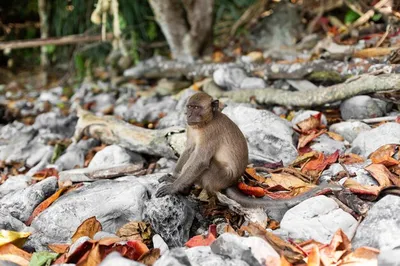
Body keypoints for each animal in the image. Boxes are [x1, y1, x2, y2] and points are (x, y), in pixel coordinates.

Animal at [156, 91, 340, 210]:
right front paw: (173, 176)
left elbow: (200, 160)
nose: (188, 115)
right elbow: (189, 149)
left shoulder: (210, 133)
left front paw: (174, 186)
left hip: (218, 176)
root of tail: (232, 181)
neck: (204, 124)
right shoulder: (191, 128)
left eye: (197, 108)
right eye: (189, 107)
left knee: (206, 167)